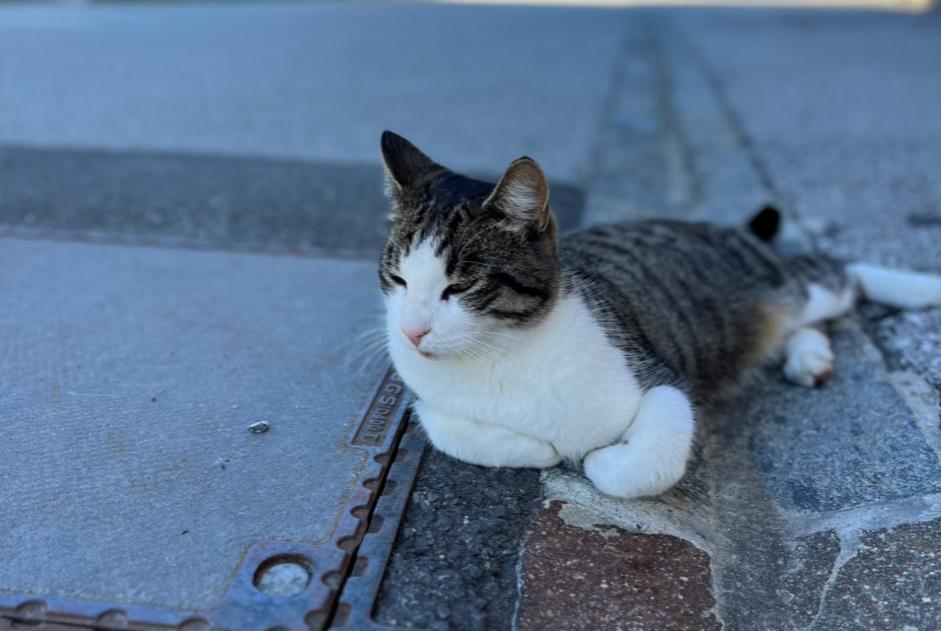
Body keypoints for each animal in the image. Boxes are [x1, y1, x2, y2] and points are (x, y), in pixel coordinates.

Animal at [374, 131, 940, 502]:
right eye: (397, 279)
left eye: (460, 286)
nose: (411, 330)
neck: (500, 354)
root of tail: (724, 229)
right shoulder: (420, 397)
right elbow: (446, 429)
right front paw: (539, 448)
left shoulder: (658, 379)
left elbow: (650, 461)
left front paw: (600, 459)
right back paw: (809, 358)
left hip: (793, 287)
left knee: (841, 274)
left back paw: (918, 289)